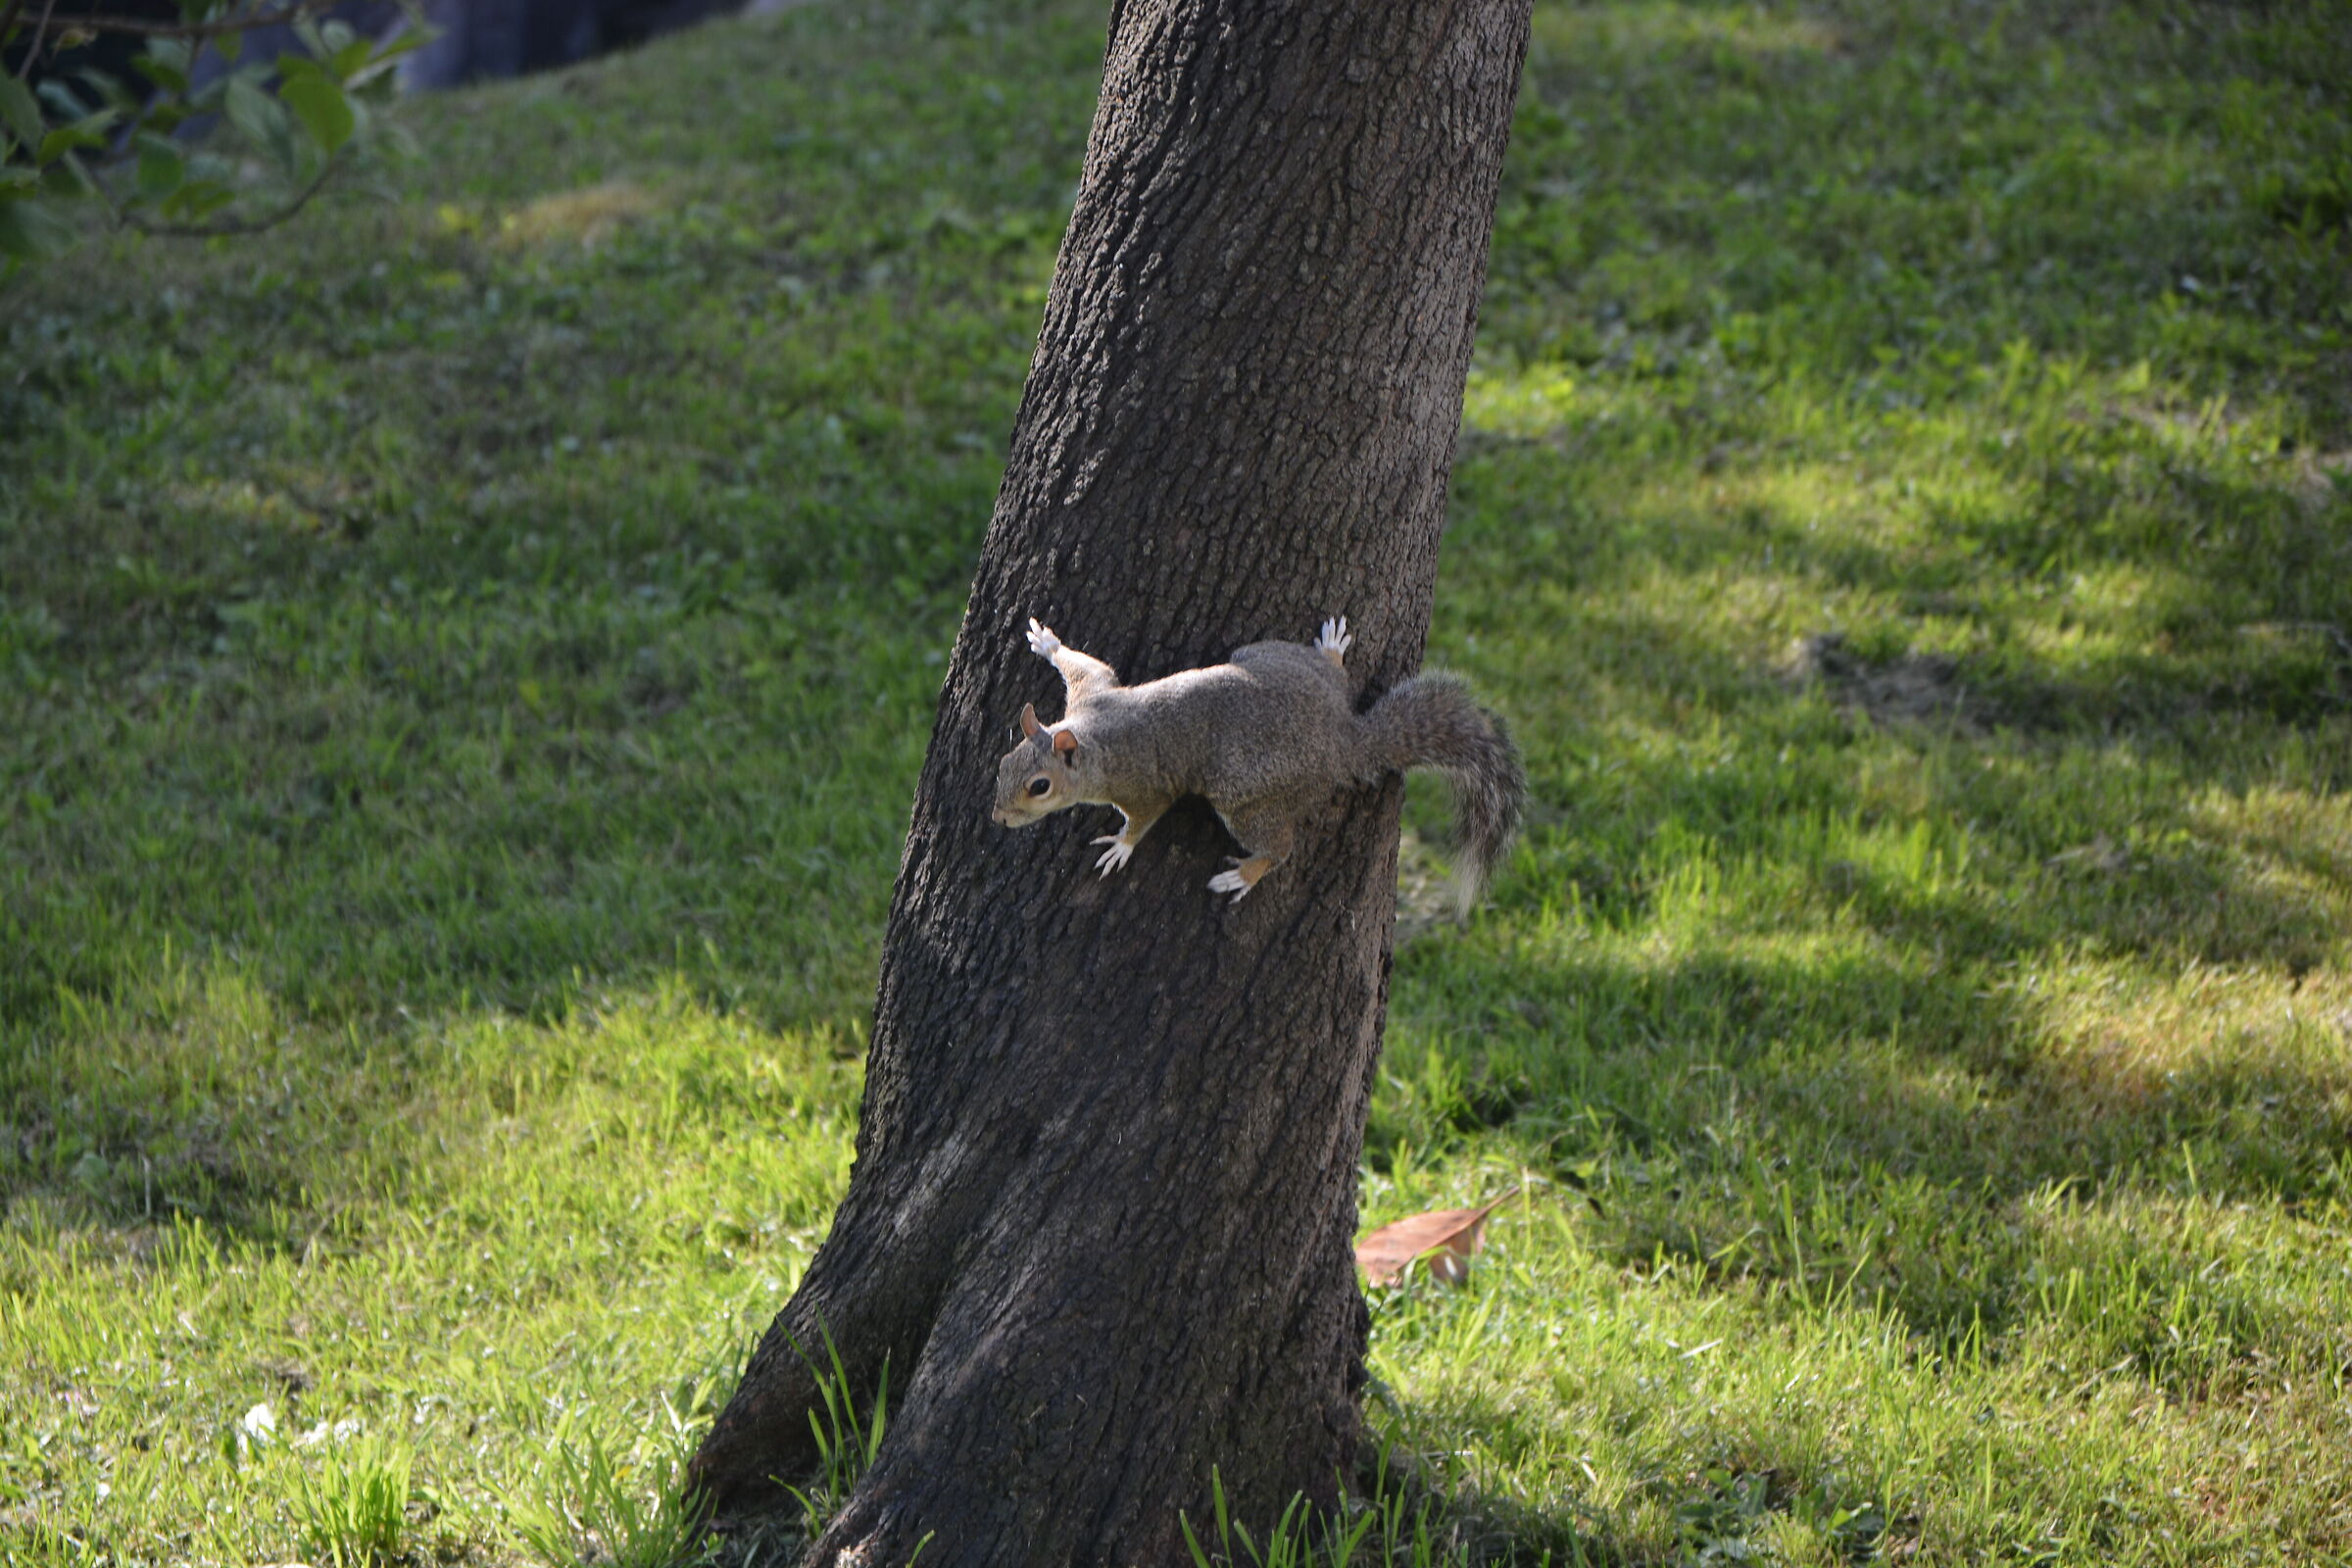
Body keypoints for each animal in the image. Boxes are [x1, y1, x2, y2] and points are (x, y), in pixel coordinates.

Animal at [990, 614, 1525, 906]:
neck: (1092, 738)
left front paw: (1121, 846)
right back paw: (1331, 652)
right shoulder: (1093, 692)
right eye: (1002, 763)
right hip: (1269, 657)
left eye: (1040, 786)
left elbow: (1145, 817)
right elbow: (1086, 664)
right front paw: (1048, 643)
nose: (999, 818)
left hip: (1247, 796)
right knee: (1330, 674)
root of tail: (1343, 738)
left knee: (1280, 847)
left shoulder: (1140, 782)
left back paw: (1245, 873)